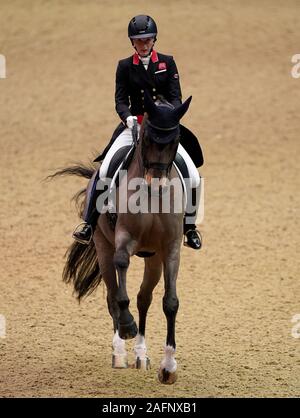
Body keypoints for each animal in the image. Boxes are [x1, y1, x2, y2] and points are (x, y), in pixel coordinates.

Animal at [54, 94, 192, 386]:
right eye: (148, 138)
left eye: (175, 139)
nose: (157, 185)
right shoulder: (123, 241)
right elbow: (121, 287)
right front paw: (128, 327)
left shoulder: (170, 249)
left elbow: (170, 302)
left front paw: (169, 367)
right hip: (102, 246)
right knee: (112, 295)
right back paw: (120, 353)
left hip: (154, 259)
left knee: (143, 298)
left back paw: (141, 355)